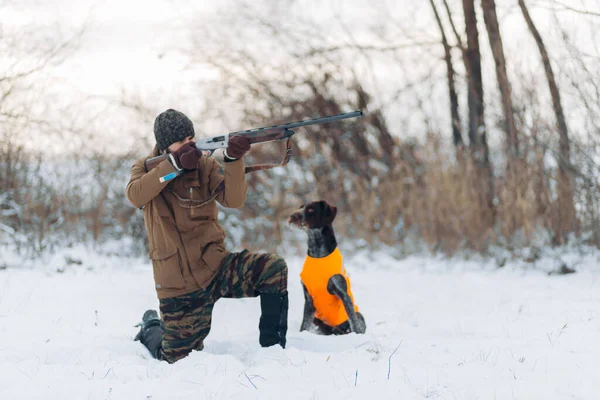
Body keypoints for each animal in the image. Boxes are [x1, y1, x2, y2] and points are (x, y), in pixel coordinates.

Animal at [290, 200, 368, 334]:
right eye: (300, 207)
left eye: (311, 209)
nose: (293, 216)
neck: (318, 255)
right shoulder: (309, 299)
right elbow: (304, 325)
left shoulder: (344, 295)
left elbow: (353, 322)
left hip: (358, 315)